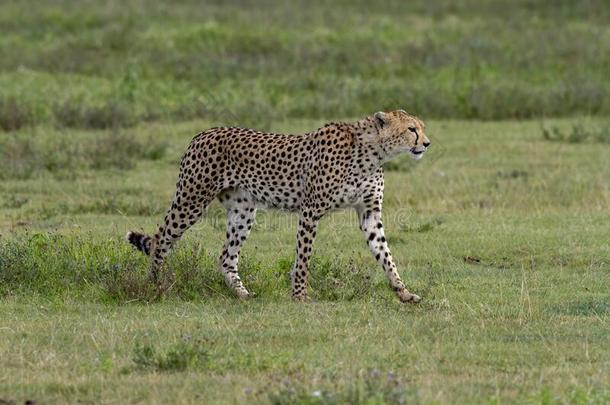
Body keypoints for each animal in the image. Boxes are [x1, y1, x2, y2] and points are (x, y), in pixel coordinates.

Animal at [124, 109, 428, 302]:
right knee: (161, 238)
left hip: (243, 212)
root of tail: (202, 133)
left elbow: (386, 255)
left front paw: (403, 292)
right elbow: (303, 257)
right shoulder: (311, 211)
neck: (372, 153)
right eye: (411, 129)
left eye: (421, 127)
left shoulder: (369, 213)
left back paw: (243, 294)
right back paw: (153, 284)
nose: (427, 143)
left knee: (226, 257)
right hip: (192, 199)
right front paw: (300, 295)